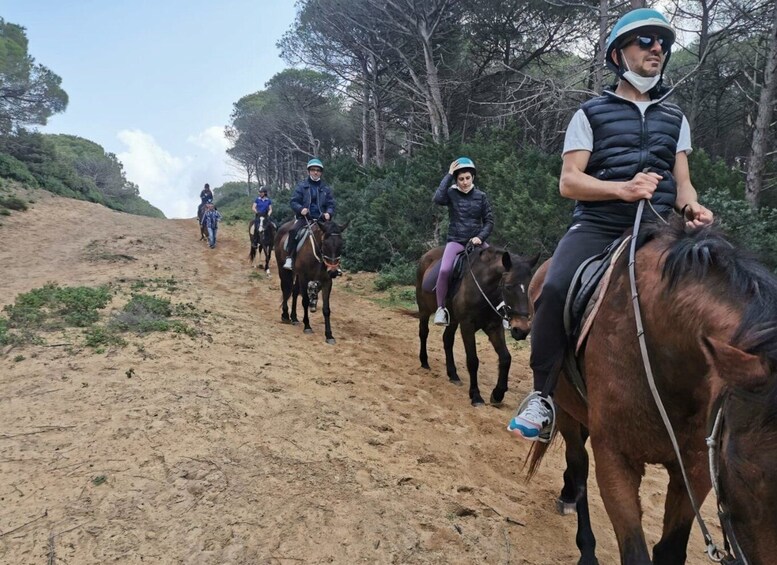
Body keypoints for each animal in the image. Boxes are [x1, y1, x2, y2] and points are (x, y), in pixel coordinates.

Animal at [416, 247, 536, 406]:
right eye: (508, 287)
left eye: (530, 288)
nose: (521, 330)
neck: (483, 289)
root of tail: (426, 255)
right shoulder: (467, 326)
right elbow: (473, 360)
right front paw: (476, 396)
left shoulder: (493, 327)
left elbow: (506, 358)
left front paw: (497, 394)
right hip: (424, 309)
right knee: (424, 332)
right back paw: (424, 362)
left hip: (453, 320)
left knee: (447, 340)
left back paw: (453, 374)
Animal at [524, 216, 776, 564]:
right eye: (744, 476)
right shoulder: (616, 460)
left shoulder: (695, 469)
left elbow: (669, 550)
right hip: (565, 412)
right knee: (578, 467)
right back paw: (586, 547)